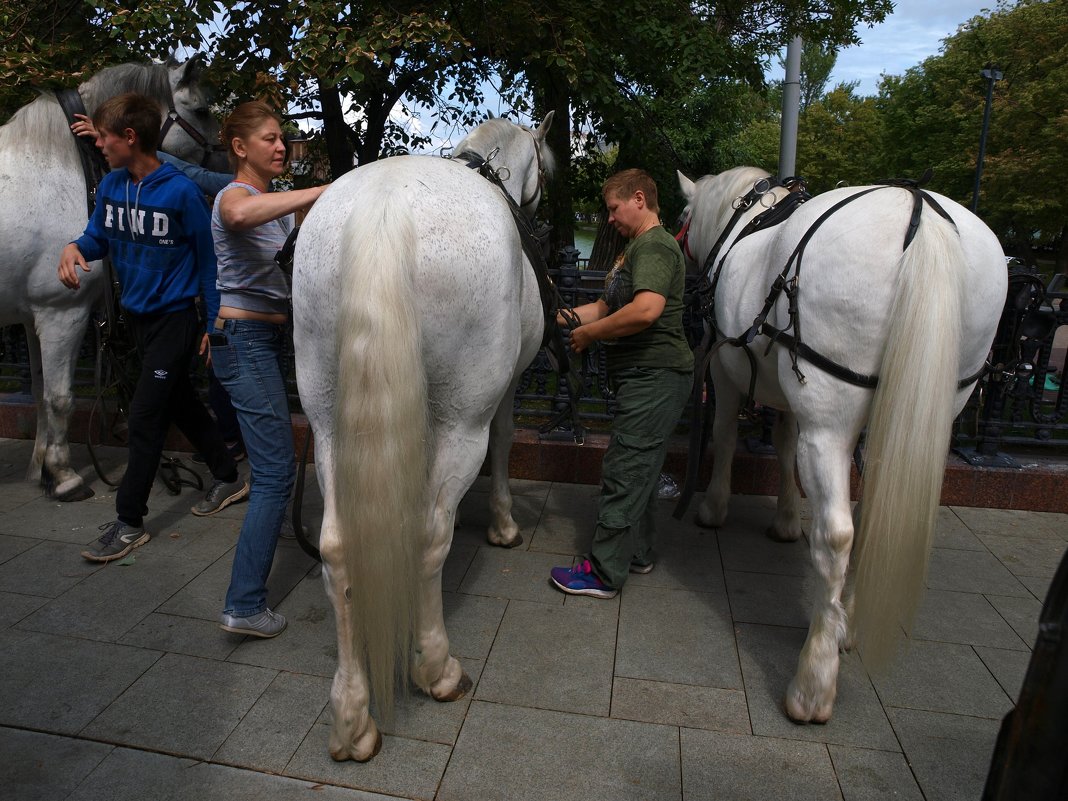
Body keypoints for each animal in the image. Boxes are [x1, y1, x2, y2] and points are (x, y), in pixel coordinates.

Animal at [0, 56, 225, 499]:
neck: (58, 166)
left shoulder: (34, 315)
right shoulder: (61, 312)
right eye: (203, 110)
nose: (228, 165)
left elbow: (39, 390)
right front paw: (63, 476)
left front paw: (40, 468)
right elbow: (60, 397)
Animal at [296, 114, 555, 764]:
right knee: (429, 535)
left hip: (327, 421)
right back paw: (435, 667)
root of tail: (384, 208)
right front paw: (503, 523)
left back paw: (352, 717)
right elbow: (507, 440)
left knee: (337, 548)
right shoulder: (504, 391)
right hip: (462, 421)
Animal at [679, 169, 1003, 726]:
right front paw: (787, 519)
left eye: (682, 219)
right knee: (876, 516)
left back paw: (813, 679)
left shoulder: (725, 367)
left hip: (830, 414)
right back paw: (845, 624)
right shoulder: (787, 391)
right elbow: (785, 445)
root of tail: (921, 213)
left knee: (836, 536)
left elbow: (725, 434)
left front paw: (715, 506)